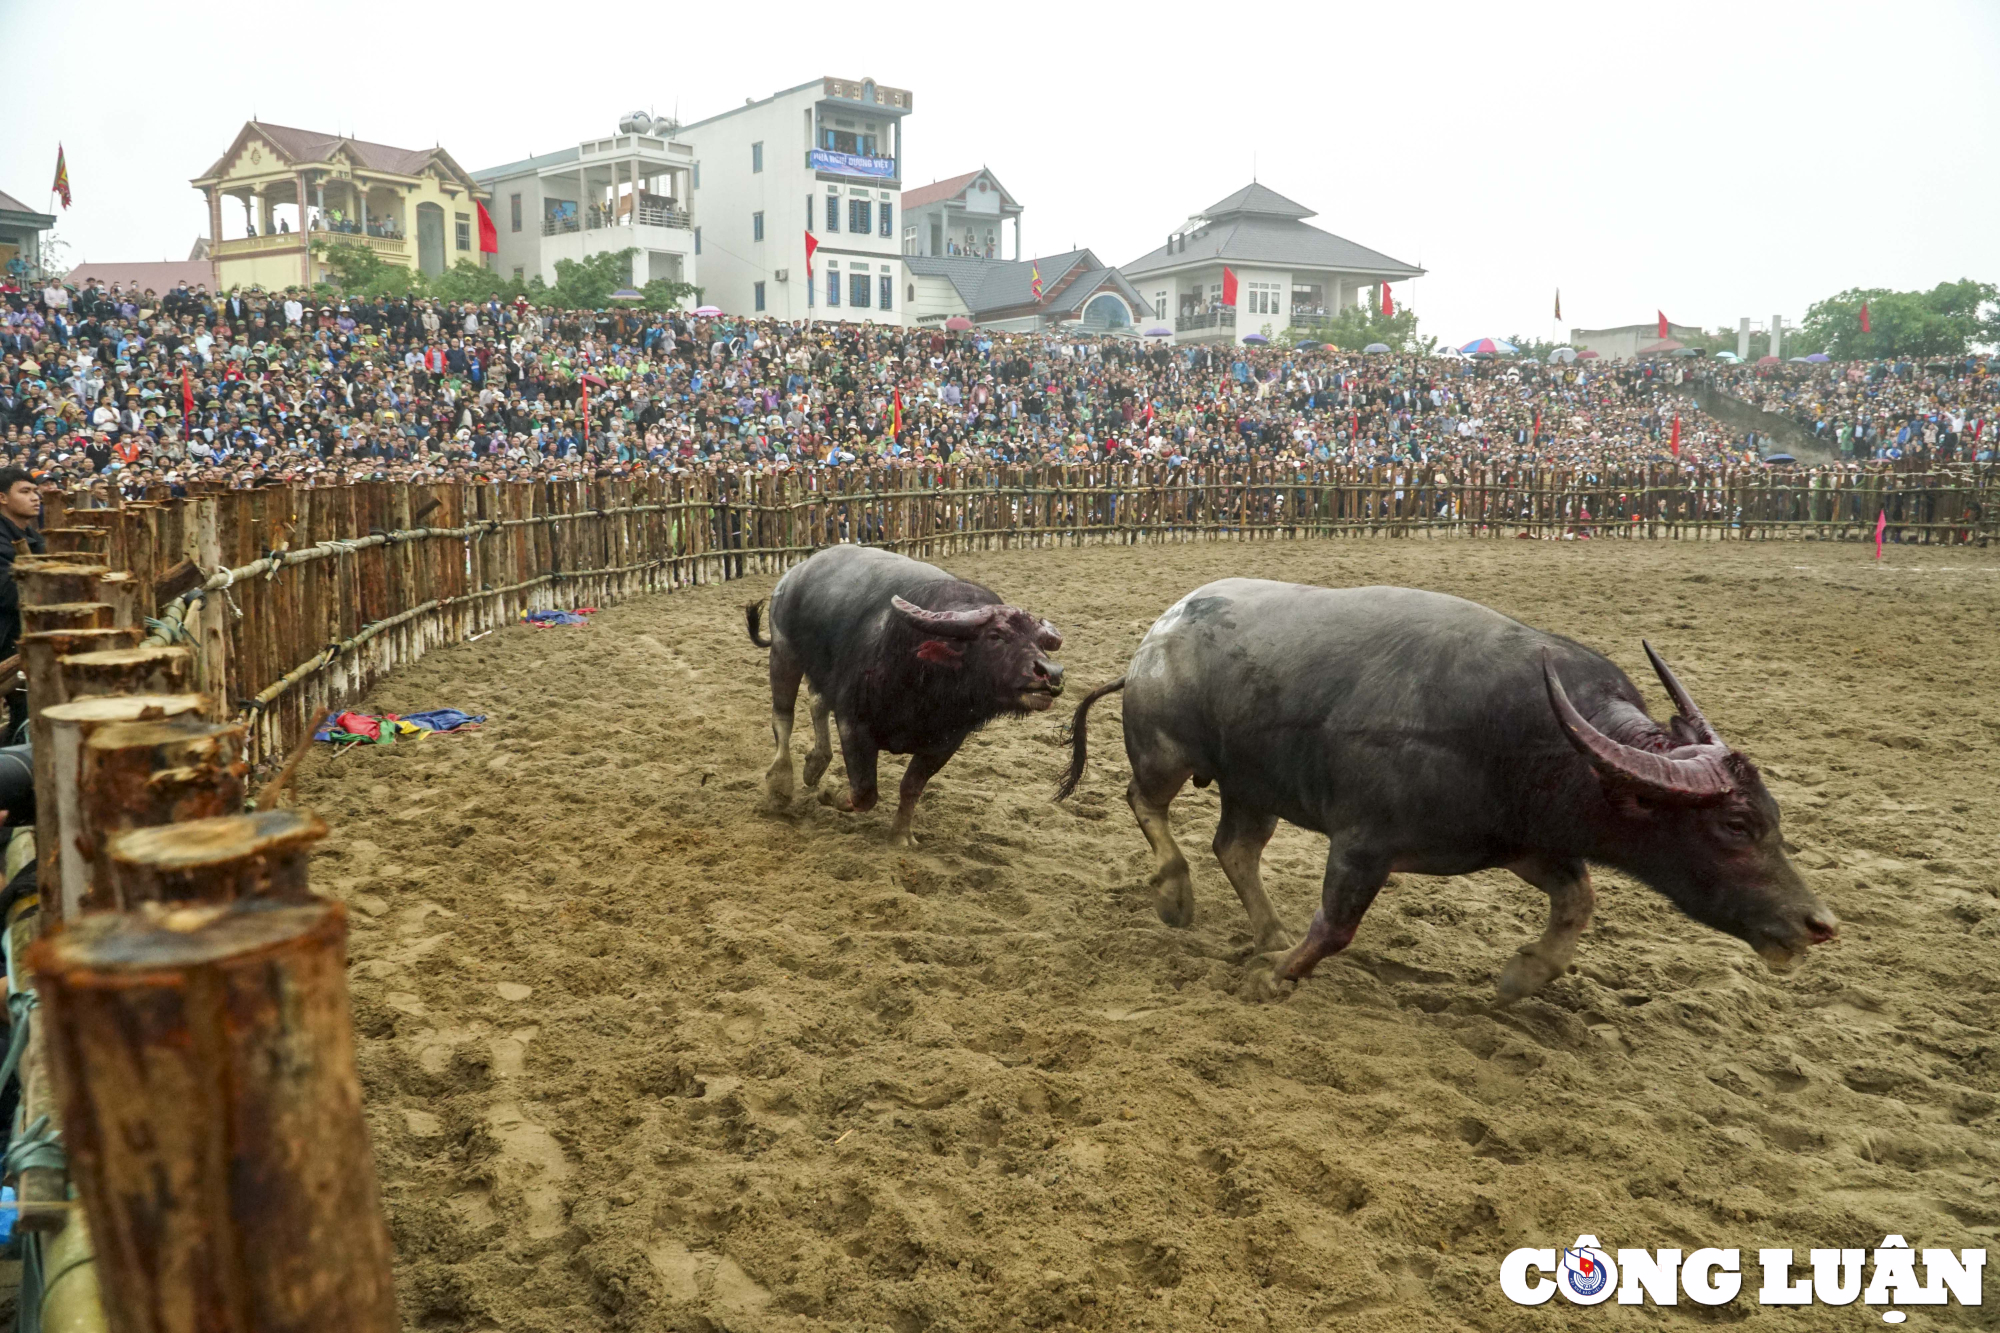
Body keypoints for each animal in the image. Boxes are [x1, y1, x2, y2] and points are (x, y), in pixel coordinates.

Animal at [748, 544, 1064, 840]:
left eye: (1040, 642)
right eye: (995, 636)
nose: (1052, 673)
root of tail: (795, 574)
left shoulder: (944, 744)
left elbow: (910, 788)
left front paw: (901, 835)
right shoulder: (853, 724)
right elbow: (865, 791)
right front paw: (830, 794)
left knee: (816, 702)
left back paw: (815, 765)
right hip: (783, 653)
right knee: (783, 717)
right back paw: (779, 786)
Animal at [1064, 576, 1840, 992]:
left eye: (1774, 815)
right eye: (1735, 825)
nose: (1818, 924)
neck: (1517, 731)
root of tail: (1154, 641)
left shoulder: (1522, 841)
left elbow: (1579, 898)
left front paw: (1525, 974)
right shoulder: (1362, 843)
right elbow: (1336, 926)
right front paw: (1277, 977)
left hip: (1254, 786)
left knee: (1235, 847)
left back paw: (1265, 928)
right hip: (1166, 752)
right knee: (1145, 803)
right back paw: (1176, 893)